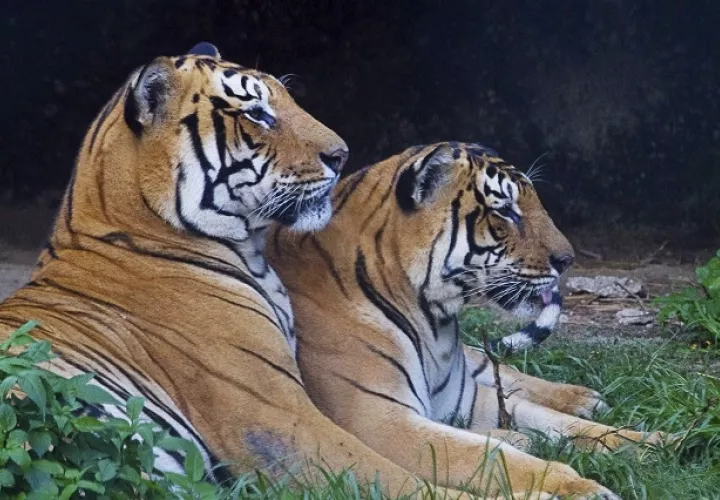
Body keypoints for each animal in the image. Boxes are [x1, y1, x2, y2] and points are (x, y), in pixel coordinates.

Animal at [268, 142, 670, 499]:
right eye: (506, 211)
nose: (567, 259)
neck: (434, 322)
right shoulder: (379, 419)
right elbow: (491, 455)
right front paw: (581, 488)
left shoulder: (465, 400)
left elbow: (565, 424)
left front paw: (660, 442)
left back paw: (582, 398)